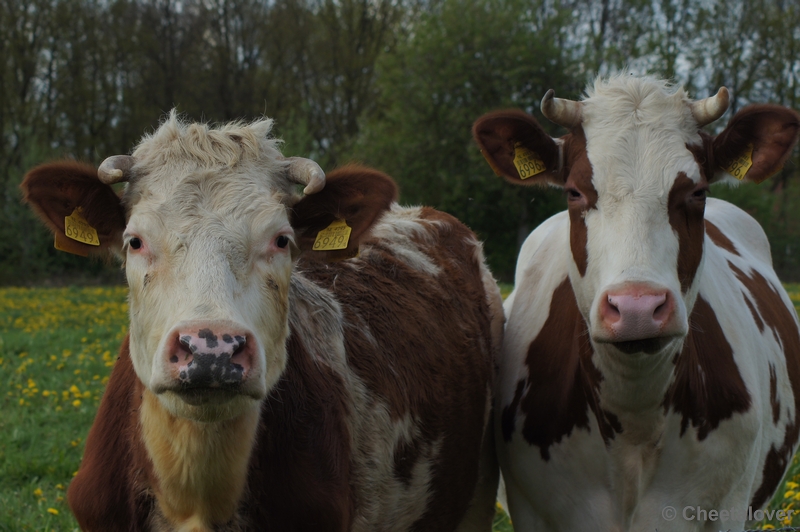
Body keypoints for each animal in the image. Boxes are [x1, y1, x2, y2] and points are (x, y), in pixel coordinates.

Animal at [472, 72, 800, 528]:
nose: (637, 309)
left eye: (697, 192)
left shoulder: (728, 508)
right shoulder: (532, 509)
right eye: (574, 192)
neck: (634, 419)